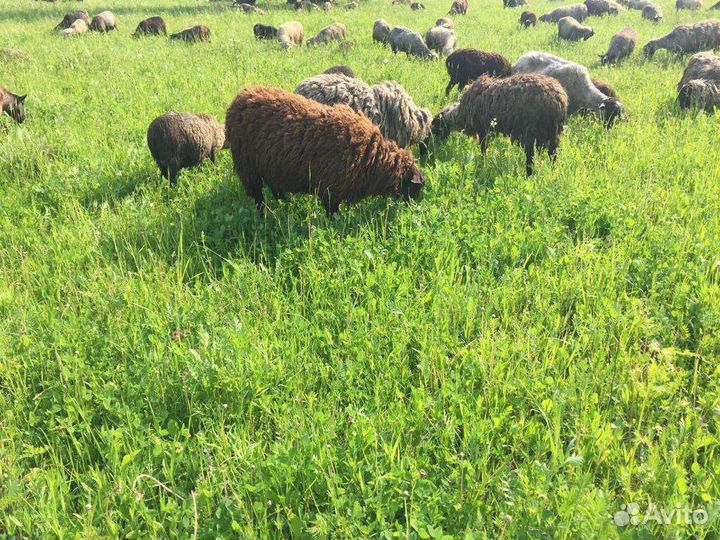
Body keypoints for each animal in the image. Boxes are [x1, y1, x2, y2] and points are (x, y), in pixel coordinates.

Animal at [225, 86, 425, 214]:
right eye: (416, 188)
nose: (415, 209)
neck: (372, 156)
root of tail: (240, 97)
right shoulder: (331, 190)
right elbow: (333, 213)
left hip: (271, 163)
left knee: (275, 186)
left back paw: (285, 202)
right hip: (247, 165)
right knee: (257, 195)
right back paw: (263, 214)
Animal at [425, 74, 568, 176]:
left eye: (436, 130)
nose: (437, 147)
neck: (460, 113)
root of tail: (558, 100)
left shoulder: (483, 130)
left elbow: (483, 149)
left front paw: (483, 164)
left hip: (530, 133)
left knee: (530, 159)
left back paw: (529, 176)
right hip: (555, 134)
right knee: (553, 156)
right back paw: (552, 173)